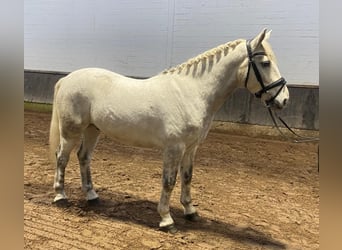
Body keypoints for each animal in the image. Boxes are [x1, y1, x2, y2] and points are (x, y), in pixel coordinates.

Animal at [48, 29, 288, 232]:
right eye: (265, 63)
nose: (284, 99)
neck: (193, 92)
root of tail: (67, 78)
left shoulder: (191, 148)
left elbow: (187, 177)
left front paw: (190, 211)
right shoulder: (174, 148)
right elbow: (169, 181)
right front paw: (166, 219)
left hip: (92, 129)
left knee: (83, 157)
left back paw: (92, 195)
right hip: (71, 130)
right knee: (62, 157)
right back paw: (60, 196)